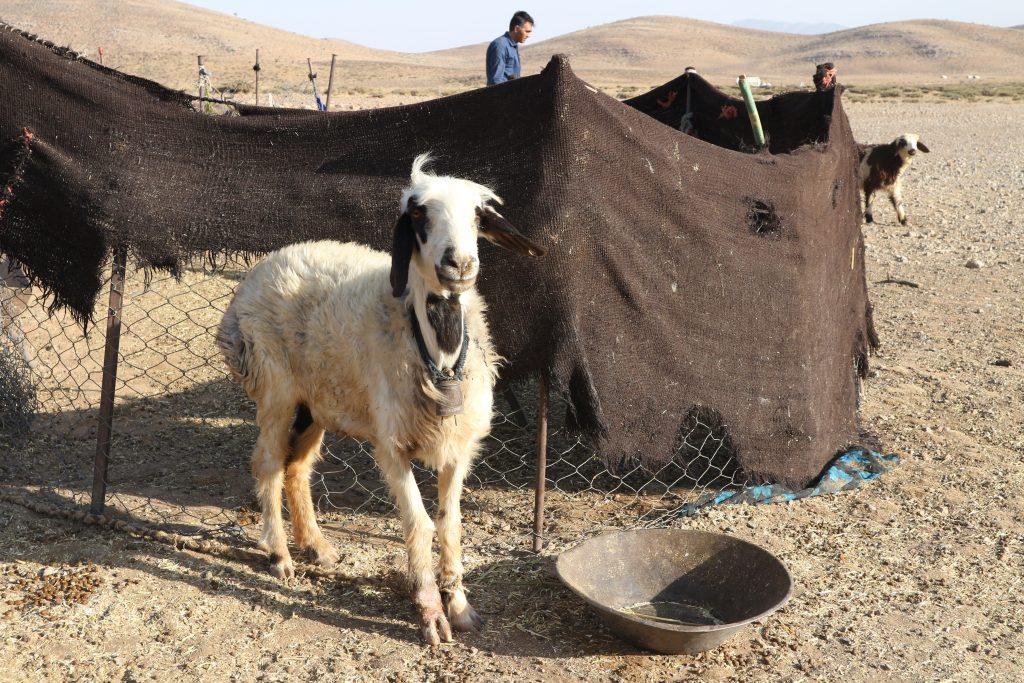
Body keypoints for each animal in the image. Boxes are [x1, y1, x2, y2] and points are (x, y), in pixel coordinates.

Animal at [218, 152, 544, 643]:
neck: (436, 350)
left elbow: (449, 523)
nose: (459, 264)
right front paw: (430, 613)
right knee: (269, 465)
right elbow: (419, 524)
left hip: (315, 403)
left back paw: (316, 545)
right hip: (277, 390)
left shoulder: (459, 446)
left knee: (297, 468)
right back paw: (280, 555)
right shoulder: (392, 447)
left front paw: (460, 606)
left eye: (477, 215)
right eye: (419, 216)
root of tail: (267, 265)